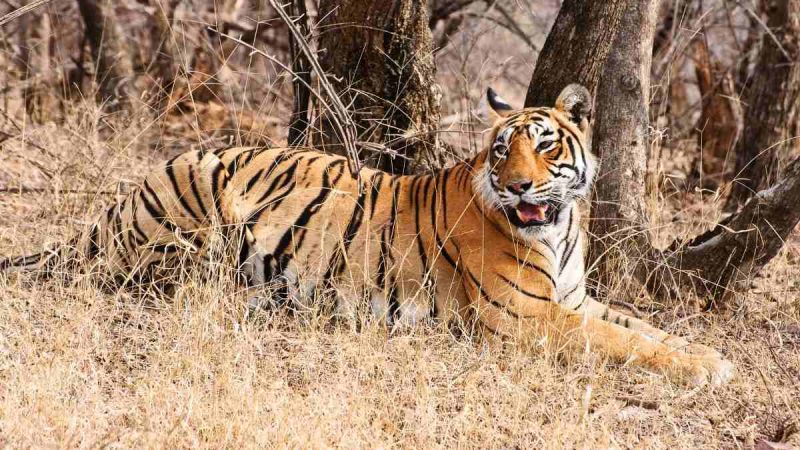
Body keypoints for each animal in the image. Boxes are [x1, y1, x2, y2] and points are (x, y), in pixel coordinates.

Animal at [1, 84, 734, 386]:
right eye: (502, 152)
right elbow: (625, 343)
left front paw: (711, 355)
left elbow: (646, 329)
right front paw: (707, 369)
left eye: (546, 146)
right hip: (188, 215)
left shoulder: (574, 299)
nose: (520, 187)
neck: (559, 227)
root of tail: (125, 198)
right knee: (151, 281)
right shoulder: (526, 316)